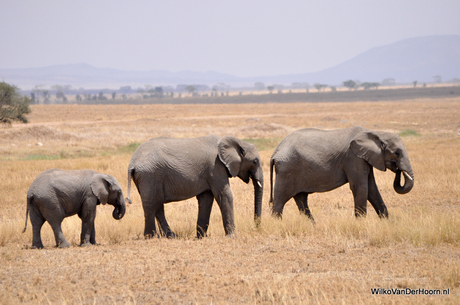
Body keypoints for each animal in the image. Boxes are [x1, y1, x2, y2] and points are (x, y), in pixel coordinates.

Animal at [126, 135, 264, 238]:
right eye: (255, 161)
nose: (256, 227)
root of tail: (132, 162)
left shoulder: (209, 172)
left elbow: (206, 199)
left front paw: (201, 237)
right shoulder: (216, 167)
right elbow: (224, 195)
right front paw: (232, 237)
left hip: (147, 177)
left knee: (157, 205)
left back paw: (171, 236)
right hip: (150, 175)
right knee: (151, 203)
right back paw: (151, 237)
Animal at [272, 124, 416, 220]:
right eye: (397, 153)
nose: (398, 170)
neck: (375, 133)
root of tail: (276, 152)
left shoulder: (364, 159)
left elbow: (372, 188)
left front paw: (386, 222)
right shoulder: (353, 157)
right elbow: (360, 187)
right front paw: (361, 224)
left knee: (301, 199)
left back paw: (312, 225)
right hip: (286, 170)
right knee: (280, 200)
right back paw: (277, 223)